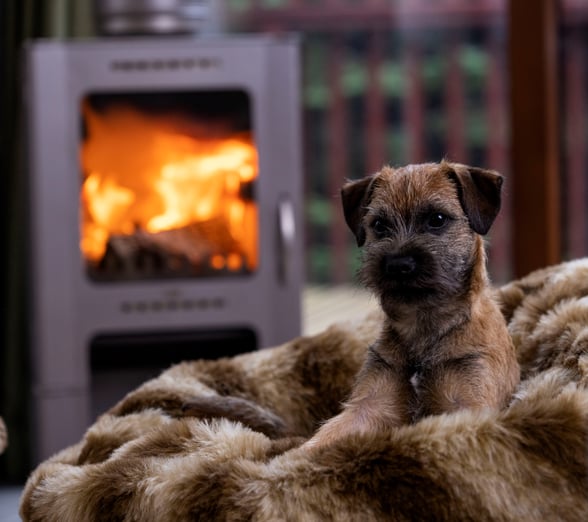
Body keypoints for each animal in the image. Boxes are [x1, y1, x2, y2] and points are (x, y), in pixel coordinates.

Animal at [306, 160, 520, 444]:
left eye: (437, 219)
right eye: (379, 225)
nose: (398, 265)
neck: (423, 326)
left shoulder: (468, 404)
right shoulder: (370, 404)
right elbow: (322, 439)